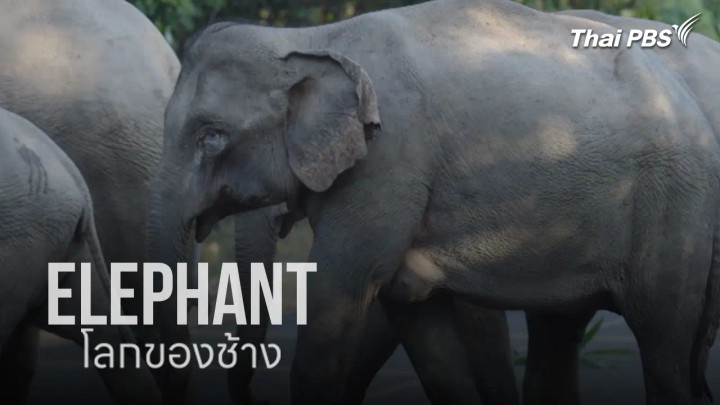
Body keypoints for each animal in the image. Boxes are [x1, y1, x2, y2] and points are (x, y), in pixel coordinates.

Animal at [152, 0, 720, 403]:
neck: (313, 41)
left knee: (662, 342)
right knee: (562, 332)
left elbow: (343, 290)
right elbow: (418, 324)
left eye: (212, 136)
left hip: (673, 207)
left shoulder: (389, 162)